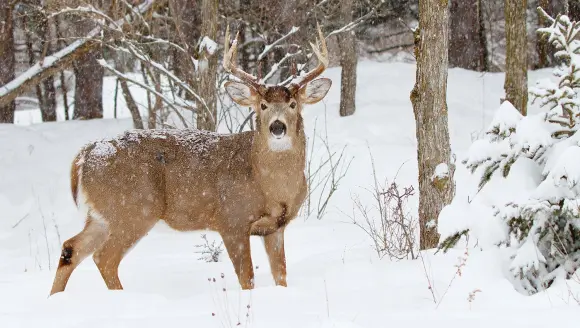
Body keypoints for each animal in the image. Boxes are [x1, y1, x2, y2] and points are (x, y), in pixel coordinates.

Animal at [51, 23, 330, 294]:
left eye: (293, 104)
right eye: (262, 106)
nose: (277, 127)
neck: (271, 188)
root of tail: (86, 154)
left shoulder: (276, 227)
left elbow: (281, 276)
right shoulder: (231, 219)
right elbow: (247, 278)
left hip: (102, 214)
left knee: (70, 249)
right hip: (133, 208)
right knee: (104, 257)